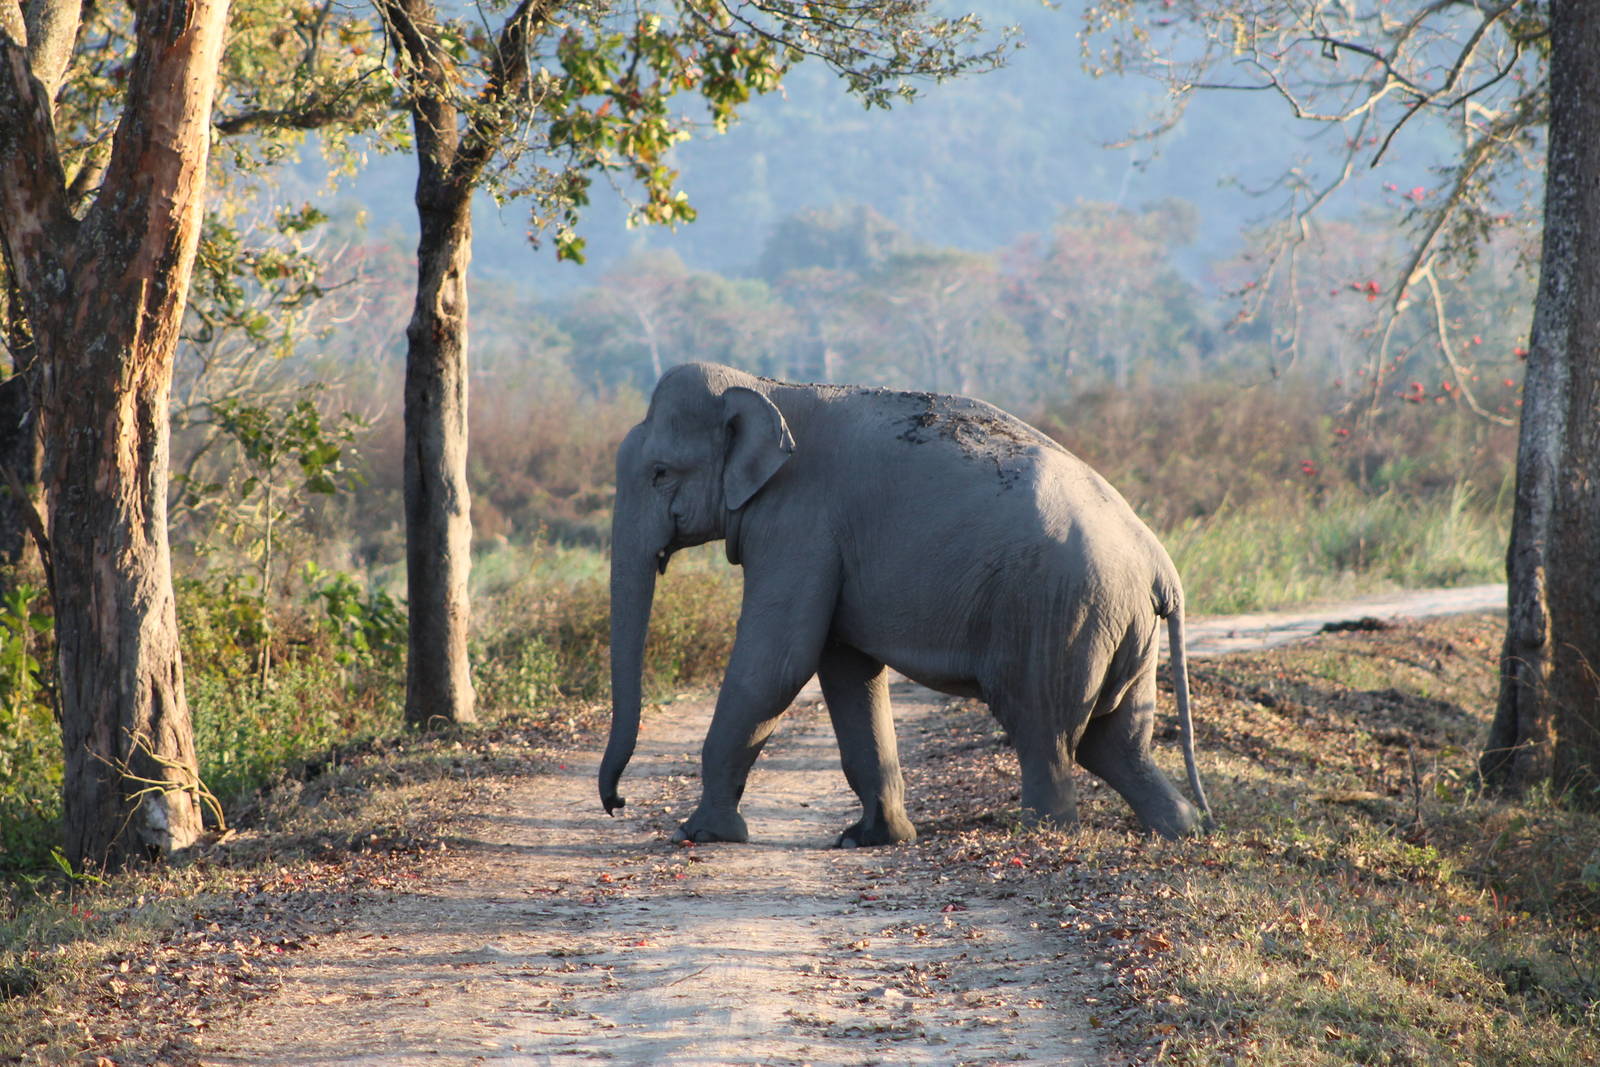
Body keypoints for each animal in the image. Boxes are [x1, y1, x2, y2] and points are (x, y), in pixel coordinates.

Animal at [600, 361, 1211, 846]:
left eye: (660, 473)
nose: (617, 803)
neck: (767, 386)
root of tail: (1160, 565)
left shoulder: (799, 522)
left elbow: (777, 664)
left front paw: (700, 833)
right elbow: (845, 668)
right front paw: (871, 839)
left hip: (1061, 613)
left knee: (1046, 730)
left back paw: (1043, 834)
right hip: (1119, 623)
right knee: (1115, 742)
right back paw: (1182, 829)